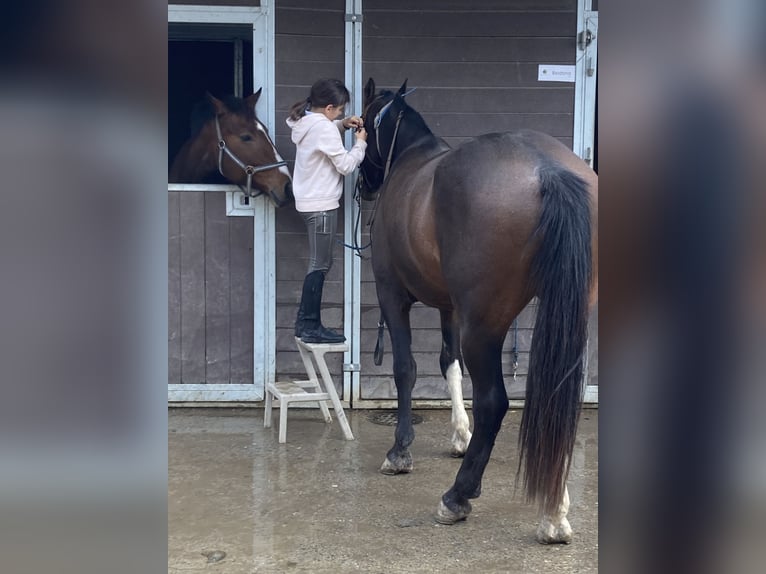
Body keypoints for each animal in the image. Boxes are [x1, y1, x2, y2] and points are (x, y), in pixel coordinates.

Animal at [360, 80, 600, 544]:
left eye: (361, 123)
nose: (363, 183)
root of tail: (548, 170)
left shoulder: (392, 295)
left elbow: (405, 369)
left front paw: (400, 451)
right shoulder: (450, 306)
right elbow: (447, 363)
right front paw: (459, 435)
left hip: (485, 327)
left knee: (494, 403)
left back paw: (458, 497)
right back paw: (554, 513)